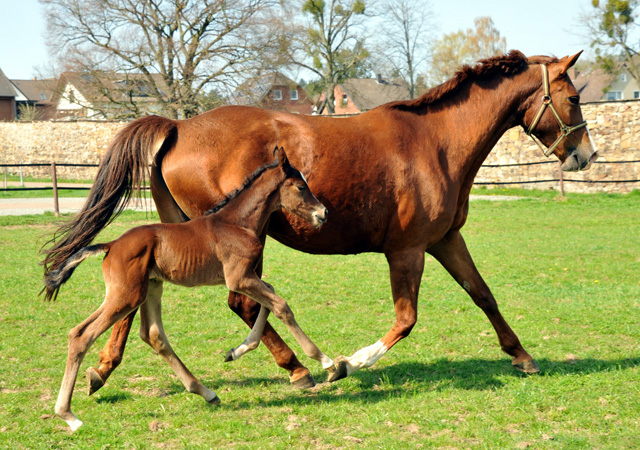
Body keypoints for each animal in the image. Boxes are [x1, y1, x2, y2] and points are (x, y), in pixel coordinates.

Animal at [43, 147, 330, 428]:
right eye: (300, 186)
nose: (323, 213)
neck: (238, 222)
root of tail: (111, 245)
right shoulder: (239, 278)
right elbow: (281, 305)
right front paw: (325, 360)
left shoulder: (246, 279)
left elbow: (269, 299)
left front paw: (235, 351)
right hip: (127, 295)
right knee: (82, 335)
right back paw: (67, 414)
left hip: (150, 288)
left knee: (153, 335)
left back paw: (206, 392)